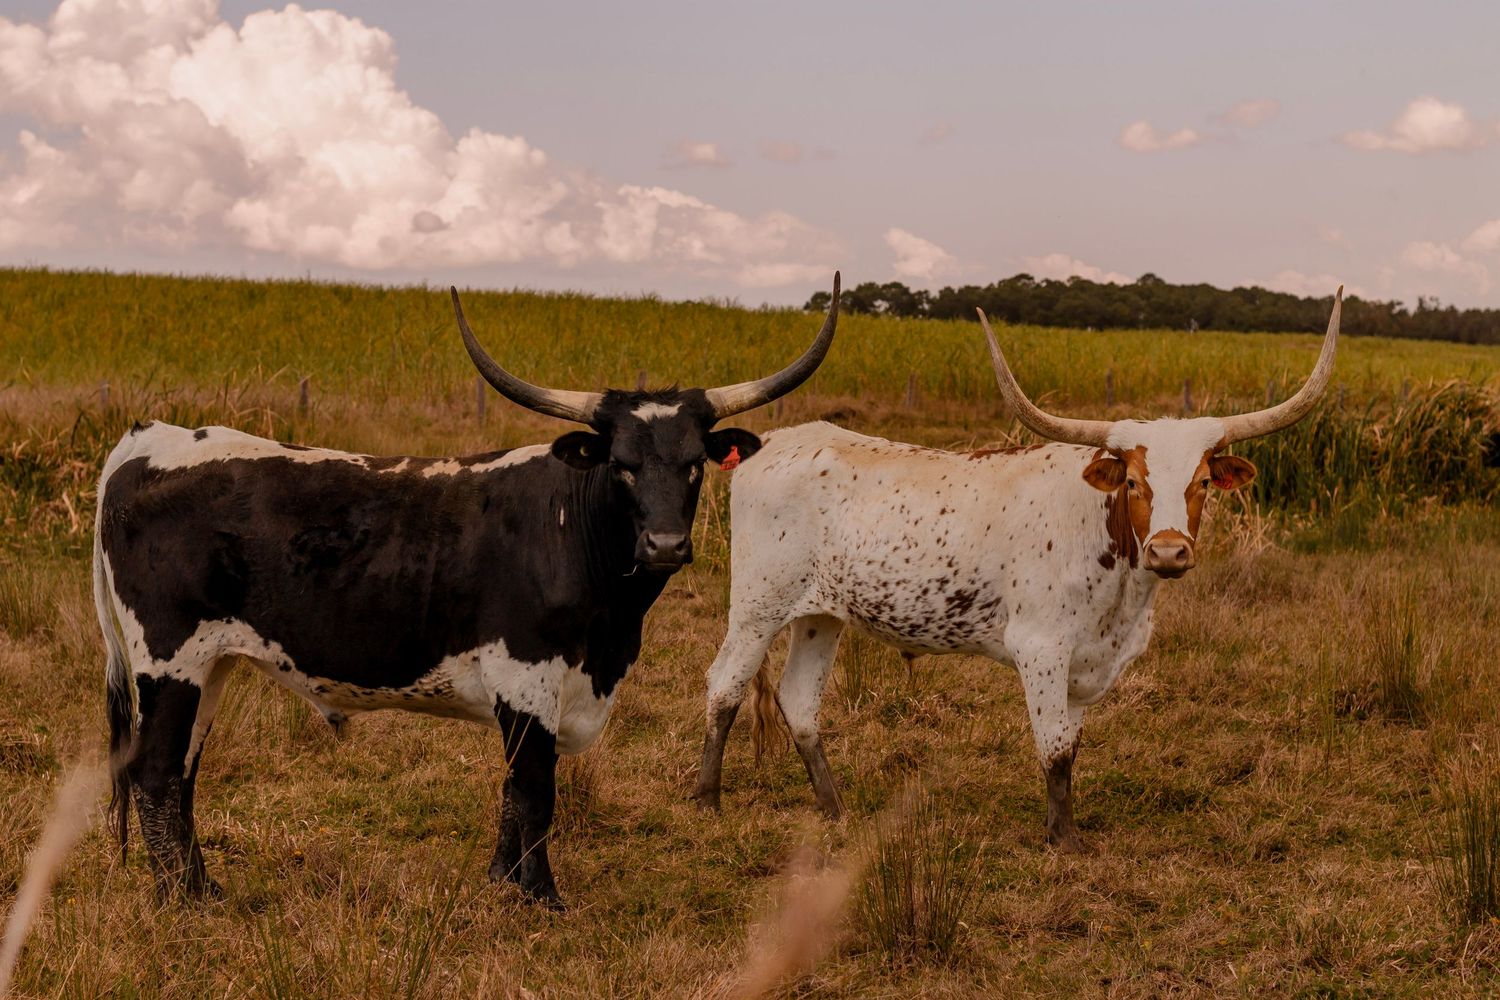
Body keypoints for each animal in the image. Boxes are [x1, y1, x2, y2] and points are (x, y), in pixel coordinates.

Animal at [95, 275, 840, 907]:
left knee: (182, 772)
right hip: (169, 660)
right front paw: (539, 898)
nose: (664, 545)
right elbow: (534, 791)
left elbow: (517, 794)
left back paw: (205, 888)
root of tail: (149, 438)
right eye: (623, 466)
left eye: (692, 465)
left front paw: (503, 883)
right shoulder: (526, 674)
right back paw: (182, 901)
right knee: (155, 772)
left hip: (210, 666)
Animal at [694, 290, 1341, 851]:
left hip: (820, 615)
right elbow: (1053, 750)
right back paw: (707, 800)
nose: (1168, 552)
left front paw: (1063, 829)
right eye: (1133, 481)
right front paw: (1065, 843)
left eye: (1203, 481)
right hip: (756, 606)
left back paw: (834, 811)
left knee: (799, 701)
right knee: (724, 685)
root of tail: (773, 443)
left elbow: (1071, 749)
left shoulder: (1087, 662)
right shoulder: (1042, 648)